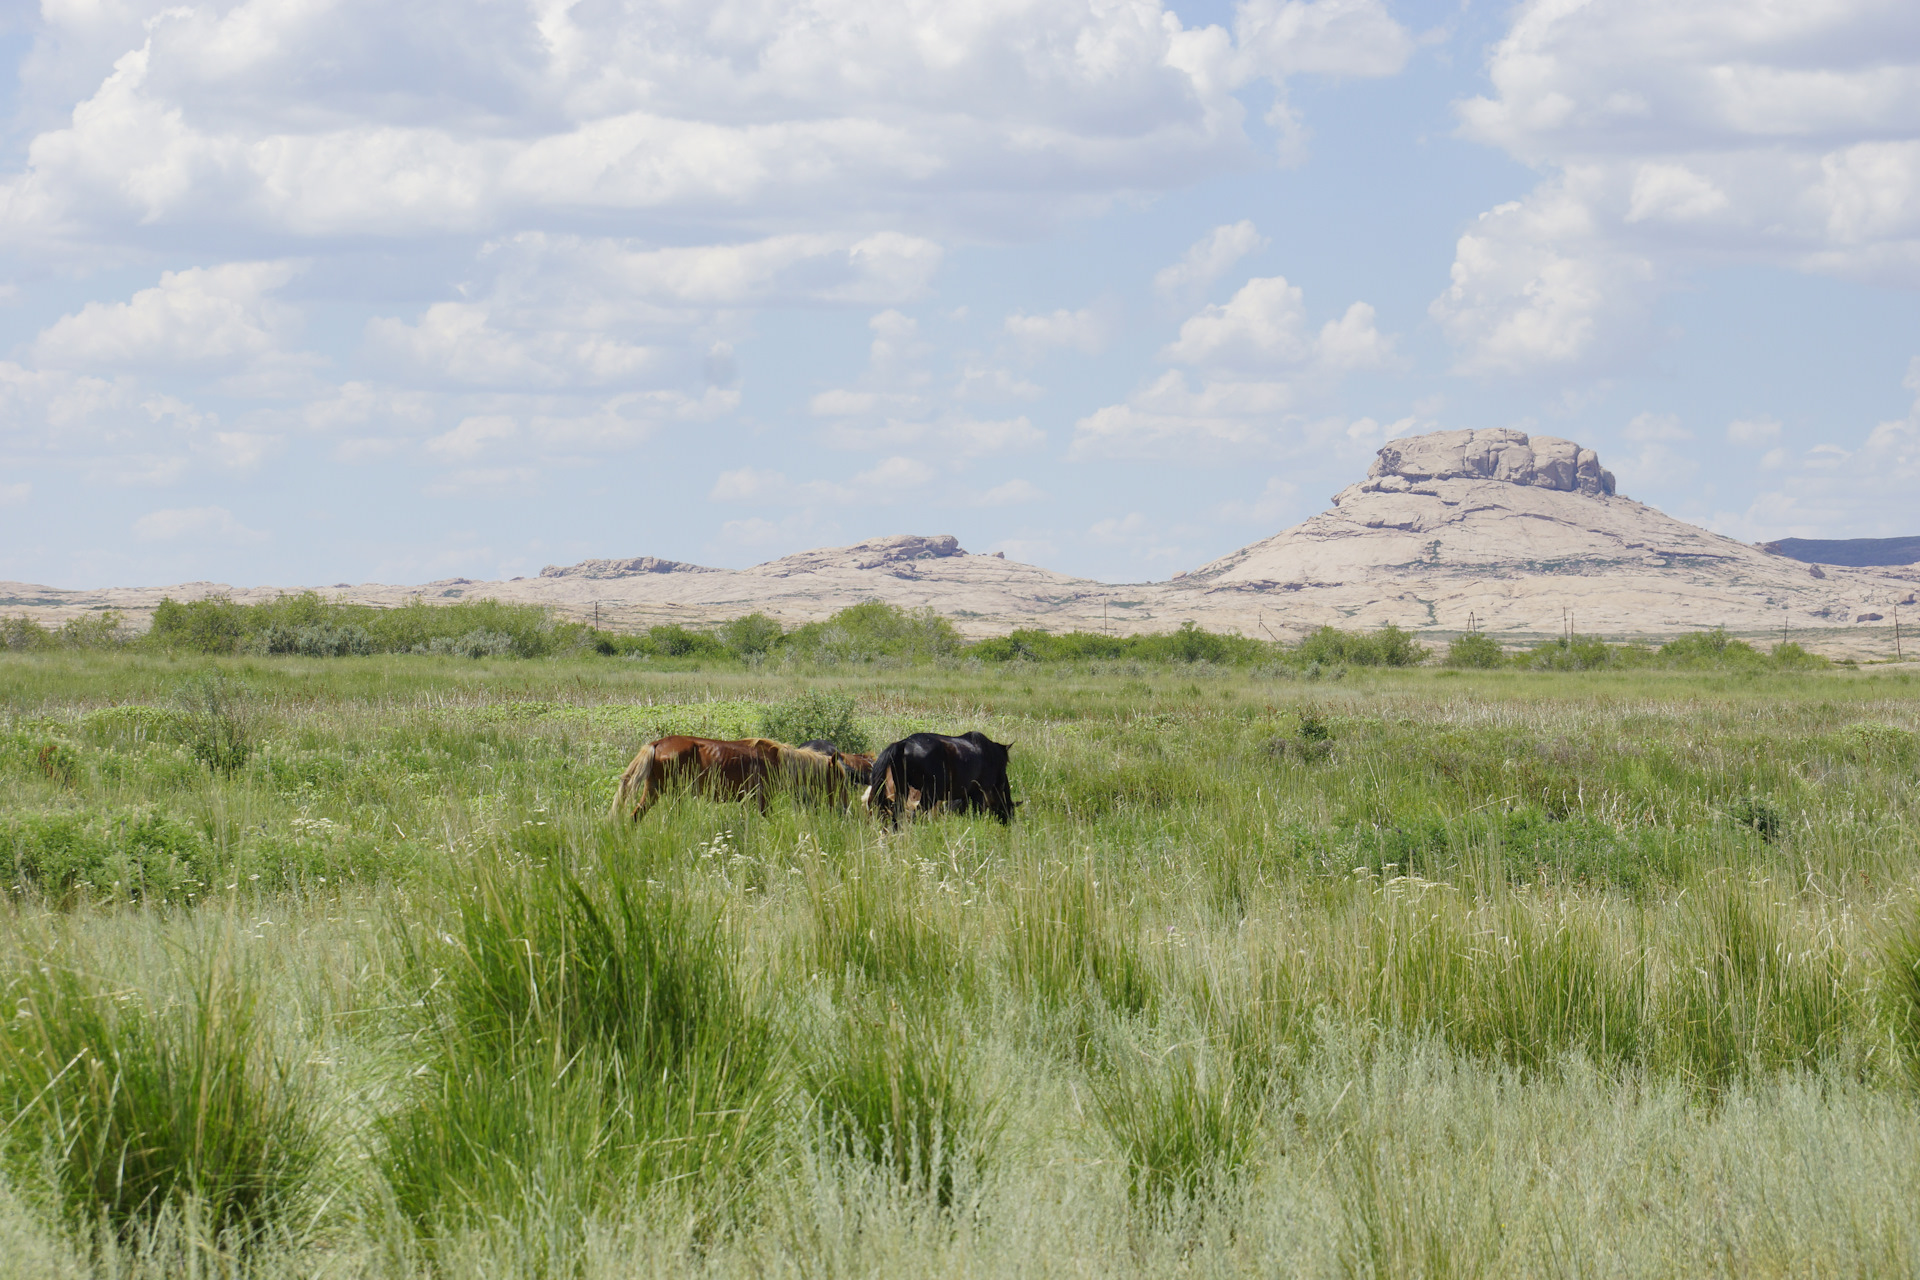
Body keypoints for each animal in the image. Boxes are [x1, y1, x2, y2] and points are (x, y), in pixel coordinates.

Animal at [610, 736, 852, 825]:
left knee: (635, 817)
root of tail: (657, 744)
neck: (777, 760)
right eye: (839, 779)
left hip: (653, 791)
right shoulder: (763, 799)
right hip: (673, 794)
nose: (844, 808)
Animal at [864, 729, 1013, 832]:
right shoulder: (978, 793)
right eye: (1005, 763)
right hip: (929, 795)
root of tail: (904, 743)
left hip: (903, 790)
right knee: (915, 814)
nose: (1008, 821)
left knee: (897, 813)